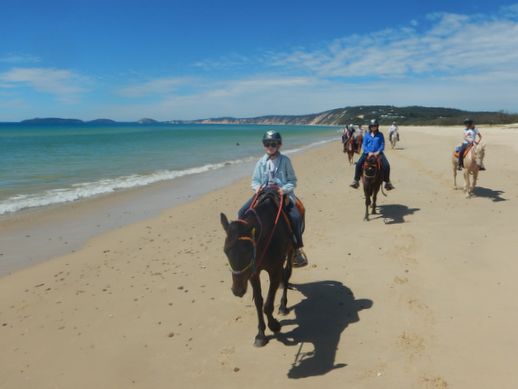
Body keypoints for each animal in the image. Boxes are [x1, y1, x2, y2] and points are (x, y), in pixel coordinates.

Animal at [220, 189, 296, 346]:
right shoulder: (252, 274)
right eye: (225, 250)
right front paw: (261, 334)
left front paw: (274, 325)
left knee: (287, 274)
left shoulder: (274, 271)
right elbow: (259, 302)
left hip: (290, 250)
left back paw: (283, 306)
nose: (237, 290)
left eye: (248, 250)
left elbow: (268, 304)